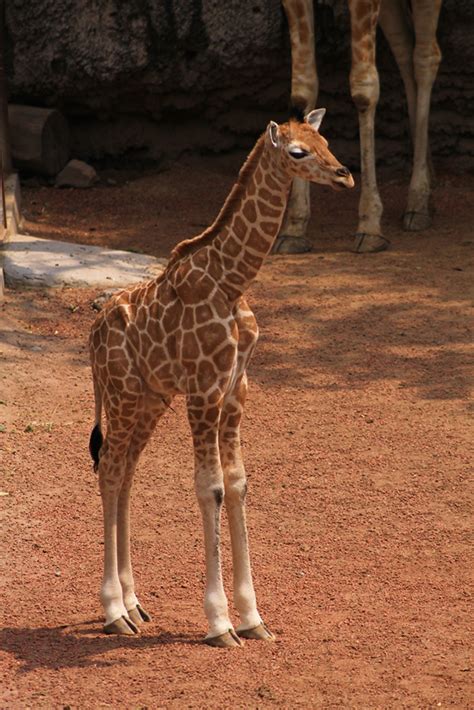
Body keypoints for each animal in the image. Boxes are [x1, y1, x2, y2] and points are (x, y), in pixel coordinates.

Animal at [90, 107, 354, 652]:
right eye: (298, 151)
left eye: (325, 140)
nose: (345, 176)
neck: (232, 283)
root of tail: (92, 332)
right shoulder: (203, 390)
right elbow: (209, 488)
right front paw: (219, 622)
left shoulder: (236, 391)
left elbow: (237, 484)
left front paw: (252, 617)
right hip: (123, 394)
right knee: (108, 470)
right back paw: (112, 611)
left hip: (148, 400)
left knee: (124, 473)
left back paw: (133, 604)